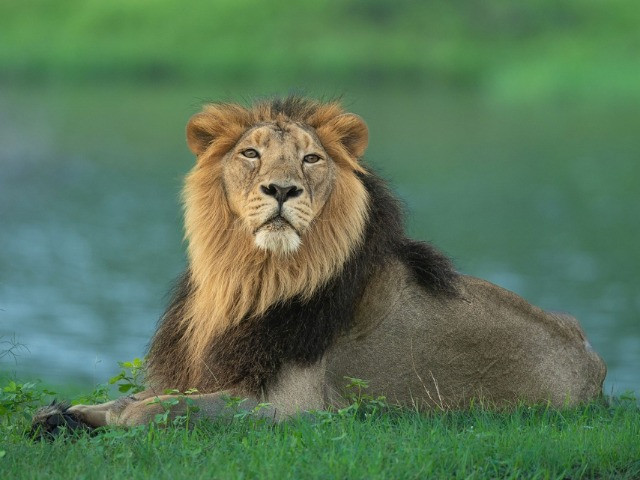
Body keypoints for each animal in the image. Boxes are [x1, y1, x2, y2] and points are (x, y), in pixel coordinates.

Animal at [32, 96, 606, 434]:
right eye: (250, 154)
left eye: (311, 159)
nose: (283, 189)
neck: (248, 277)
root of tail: (595, 361)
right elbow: (137, 397)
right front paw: (60, 415)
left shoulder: (295, 406)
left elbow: (167, 407)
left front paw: (120, 416)